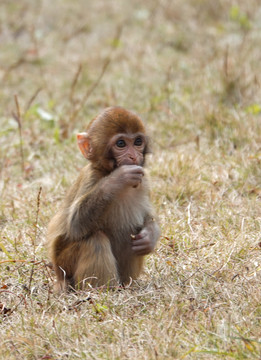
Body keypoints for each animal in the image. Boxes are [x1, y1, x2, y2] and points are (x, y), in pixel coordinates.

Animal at [47, 105, 159, 292]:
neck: (106, 171)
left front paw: (150, 236)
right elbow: (75, 224)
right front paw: (118, 179)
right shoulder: (90, 178)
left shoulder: (145, 180)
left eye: (138, 142)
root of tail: (58, 275)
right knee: (94, 239)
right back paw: (103, 290)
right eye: (121, 144)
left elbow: (148, 216)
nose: (134, 156)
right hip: (65, 263)